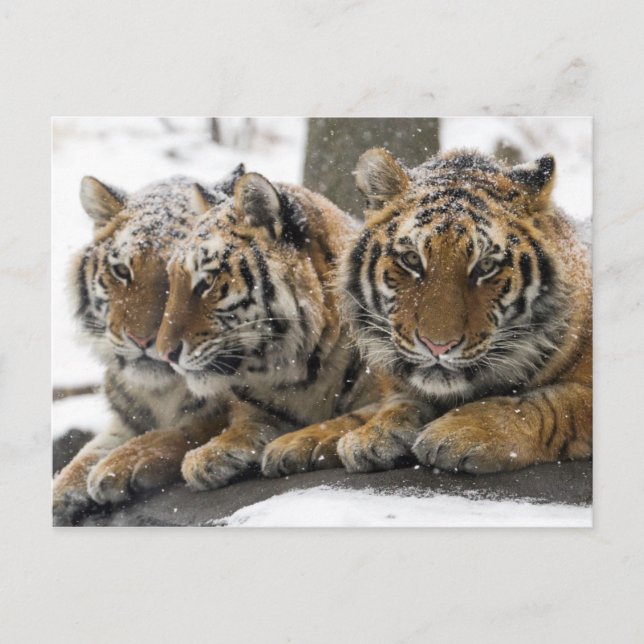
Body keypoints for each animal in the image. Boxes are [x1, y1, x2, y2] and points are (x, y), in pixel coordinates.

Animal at [52, 168, 244, 525]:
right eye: (121, 271)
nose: (141, 340)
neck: (161, 391)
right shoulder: (126, 418)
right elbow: (85, 454)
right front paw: (61, 493)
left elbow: (192, 428)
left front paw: (121, 465)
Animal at [155, 173, 379, 490]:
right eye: (173, 281)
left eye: (207, 282)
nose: (165, 354)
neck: (304, 373)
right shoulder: (259, 410)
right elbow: (246, 426)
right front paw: (206, 455)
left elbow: (357, 416)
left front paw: (294, 443)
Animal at [265, 148, 592, 476]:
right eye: (411, 259)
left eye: (486, 266)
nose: (438, 346)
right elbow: (377, 408)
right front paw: (366, 435)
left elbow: (547, 404)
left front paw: (459, 432)